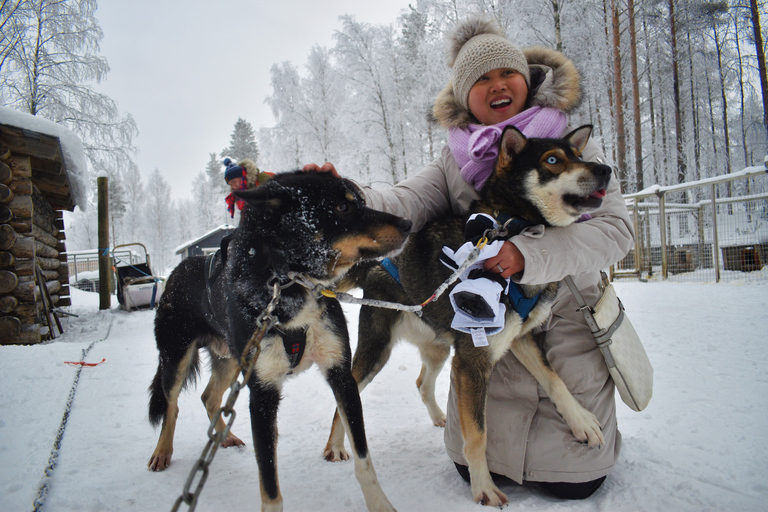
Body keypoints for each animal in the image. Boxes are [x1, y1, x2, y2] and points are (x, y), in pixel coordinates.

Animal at [145, 172, 408, 512]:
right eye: (341, 207)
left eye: (361, 201)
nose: (407, 223)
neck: (287, 286)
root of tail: (176, 271)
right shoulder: (263, 395)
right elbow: (269, 484)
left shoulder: (341, 376)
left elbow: (364, 460)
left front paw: (381, 505)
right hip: (176, 359)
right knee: (171, 404)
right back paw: (162, 452)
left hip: (232, 361)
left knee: (209, 396)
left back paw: (224, 437)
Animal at [324, 126, 612, 506]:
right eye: (552, 159)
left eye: (578, 155)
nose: (605, 169)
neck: (509, 229)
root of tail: (376, 264)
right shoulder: (473, 362)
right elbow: (477, 434)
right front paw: (484, 487)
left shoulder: (518, 339)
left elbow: (554, 379)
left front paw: (581, 421)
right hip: (377, 351)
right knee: (344, 401)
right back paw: (334, 446)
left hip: (440, 349)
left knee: (422, 382)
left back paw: (439, 418)